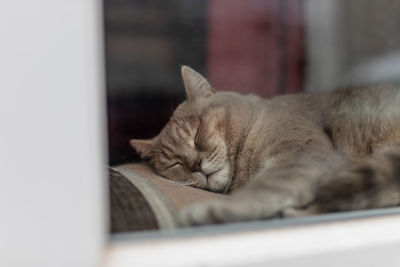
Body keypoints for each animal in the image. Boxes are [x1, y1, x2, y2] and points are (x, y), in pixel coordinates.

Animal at [130, 65, 400, 226]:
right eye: (176, 164)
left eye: (197, 135)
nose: (196, 165)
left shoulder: (302, 155)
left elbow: (262, 189)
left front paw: (211, 210)